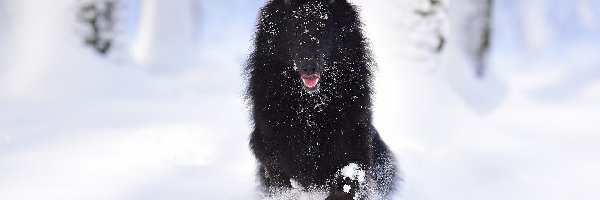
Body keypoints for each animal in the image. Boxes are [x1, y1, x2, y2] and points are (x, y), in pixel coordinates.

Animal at [244, 0, 398, 199]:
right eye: (295, 29)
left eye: (322, 29)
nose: (309, 67)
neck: (311, 106)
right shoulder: (271, 152)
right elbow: (284, 182)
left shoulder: (355, 140)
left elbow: (348, 179)